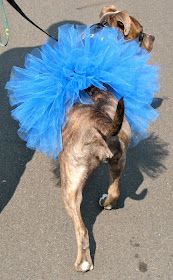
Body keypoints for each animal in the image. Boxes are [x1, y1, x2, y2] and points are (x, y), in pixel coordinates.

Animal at [58, 4, 155, 272]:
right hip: (118, 161)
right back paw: (106, 202)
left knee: (81, 229)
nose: (152, 38)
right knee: (115, 190)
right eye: (141, 34)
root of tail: (102, 124)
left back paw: (83, 262)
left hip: (70, 184)